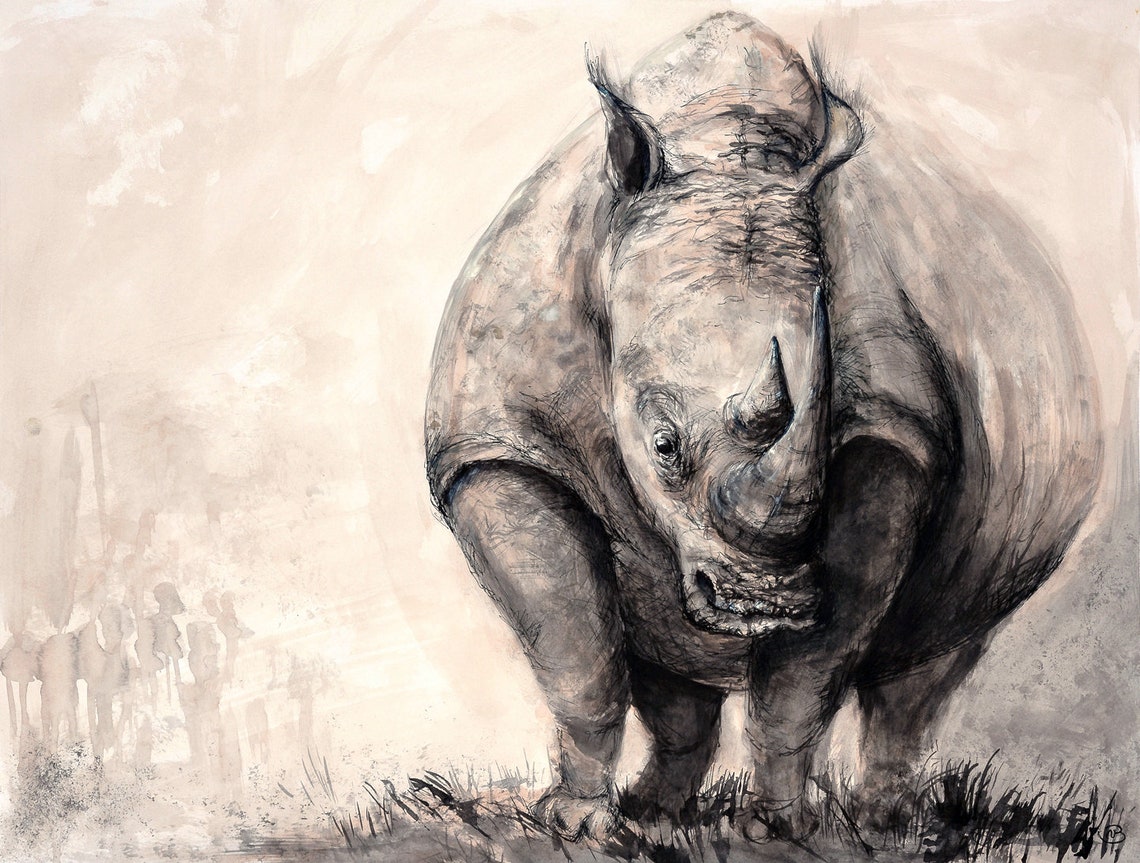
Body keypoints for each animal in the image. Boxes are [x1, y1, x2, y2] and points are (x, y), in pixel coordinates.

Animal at [425, 11, 1100, 842]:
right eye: (662, 445)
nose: (764, 606)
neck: (726, 148)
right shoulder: (496, 439)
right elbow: (575, 649)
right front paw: (574, 824)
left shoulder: (891, 432)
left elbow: (807, 673)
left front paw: (775, 828)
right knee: (664, 654)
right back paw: (653, 812)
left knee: (929, 661)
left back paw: (883, 821)